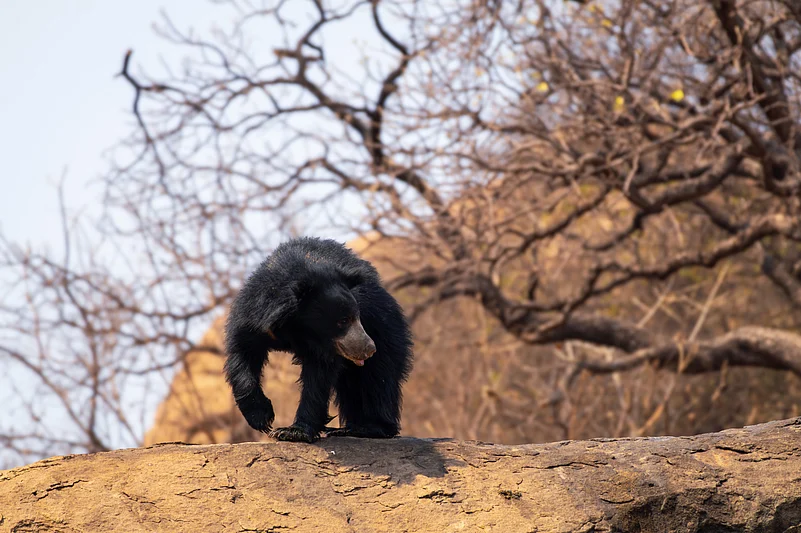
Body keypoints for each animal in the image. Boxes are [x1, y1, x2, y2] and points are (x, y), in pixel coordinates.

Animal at [223, 236, 413, 442]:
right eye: (343, 321)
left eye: (357, 317)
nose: (369, 348)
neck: (296, 328)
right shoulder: (250, 319)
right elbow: (243, 357)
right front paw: (261, 417)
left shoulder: (327, 347)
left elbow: (318, 378)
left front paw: (291, 431)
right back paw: (349, 428)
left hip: (384, 327)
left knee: (378, 377)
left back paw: (368, 428)